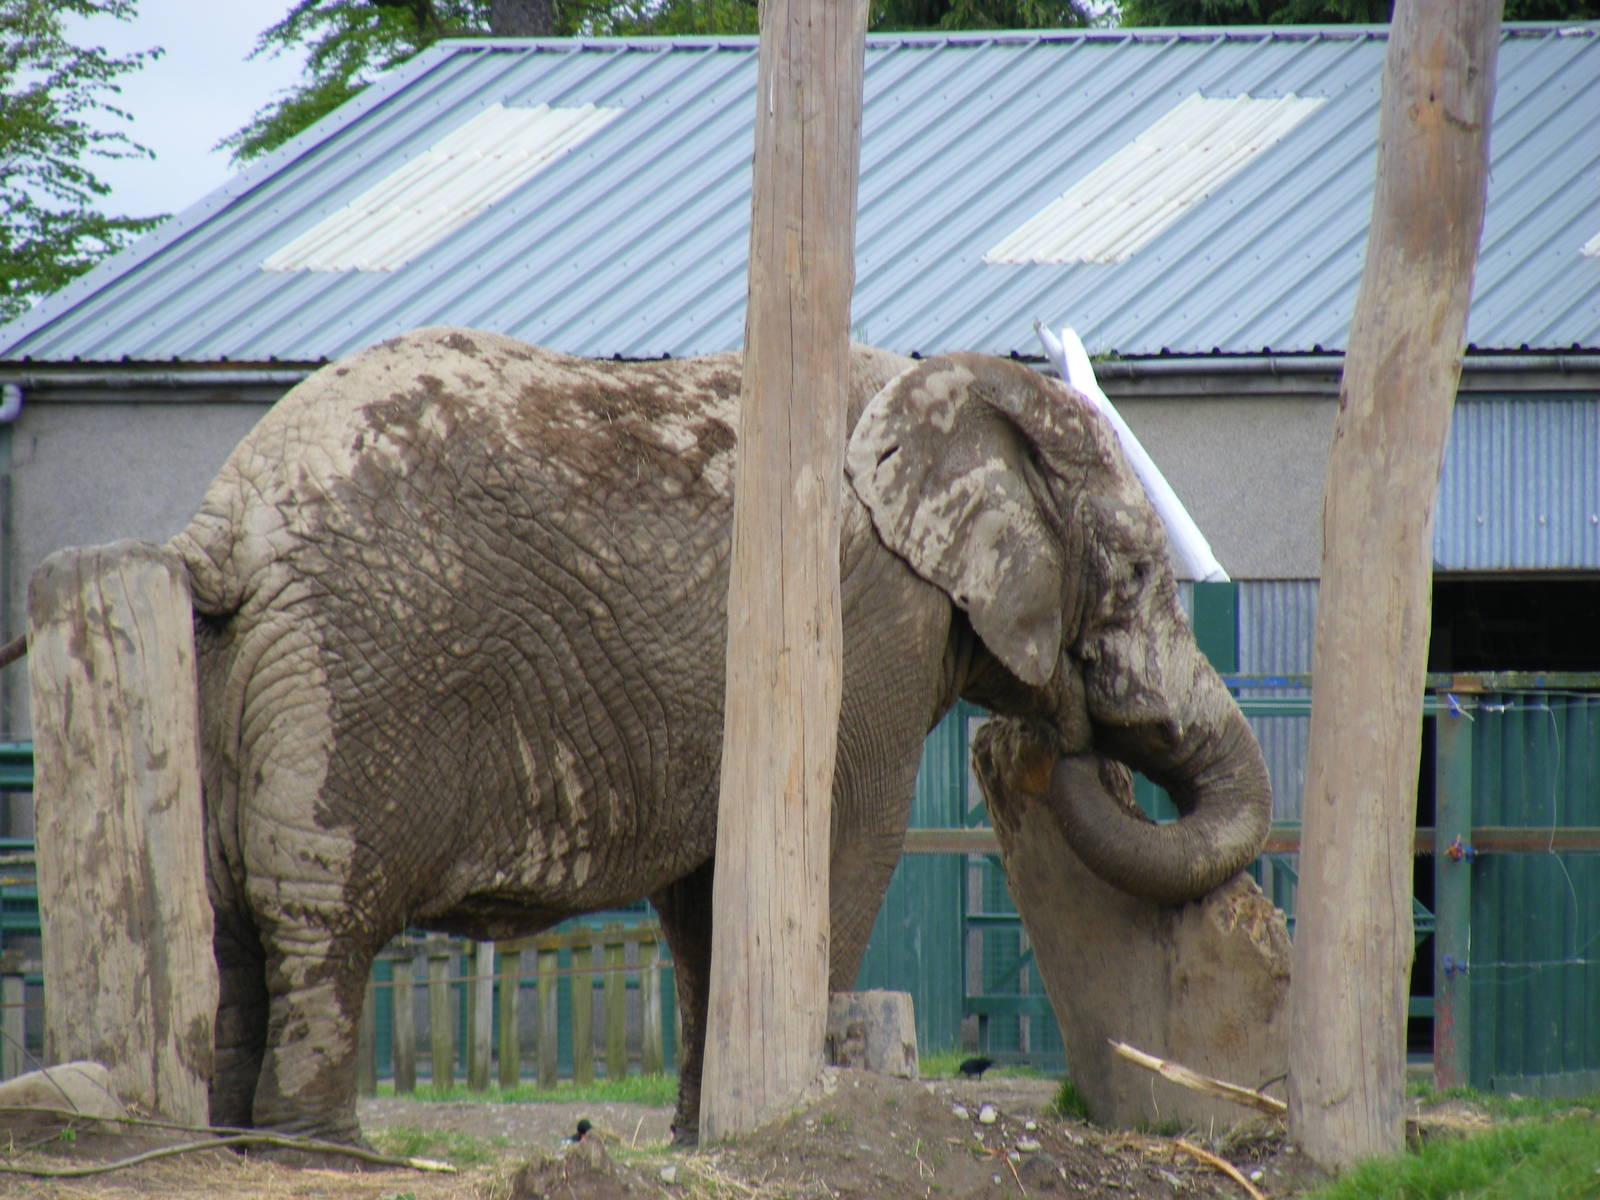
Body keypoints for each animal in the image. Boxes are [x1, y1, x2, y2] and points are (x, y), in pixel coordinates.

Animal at [161, 324, 1271, 1146]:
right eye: (1135, 572)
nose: (1063, 729)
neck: (950, 391)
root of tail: (225, 523)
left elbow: (709, 899)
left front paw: (706, 1137)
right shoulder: (870, 623)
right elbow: (847, 839)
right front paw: (793, 1108)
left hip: (228, 670)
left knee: (226, 923)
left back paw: (234, 1145)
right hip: (356, 676)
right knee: (322, 920)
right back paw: (326, 1150)